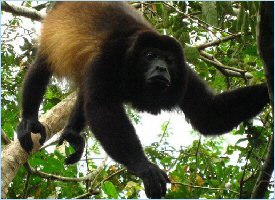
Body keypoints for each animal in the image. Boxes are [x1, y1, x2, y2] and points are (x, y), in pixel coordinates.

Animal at [18, 2, 270, 199]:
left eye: (168, 60)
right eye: (150, 56)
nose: (161, 68)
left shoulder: (184, 75)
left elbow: (208, 115)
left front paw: (269, 88)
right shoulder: (109, 58)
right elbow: (101, 108)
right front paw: (144, 166)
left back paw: (72, 133)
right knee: (43, 66)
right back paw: (29, 121)